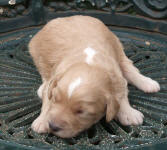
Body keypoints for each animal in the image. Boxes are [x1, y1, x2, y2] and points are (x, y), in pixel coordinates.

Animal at [29, 15, 160, 138]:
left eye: (81, 112)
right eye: (55, 99)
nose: (52, 126)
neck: (89, 62)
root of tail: (69, 17)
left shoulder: (117, 77)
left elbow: (121, 94)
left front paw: (128, 113)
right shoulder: (56, 74)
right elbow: (47, 97)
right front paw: (41, 121)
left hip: (117, 47)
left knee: (129, 68)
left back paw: (148, 83)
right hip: (38, 55)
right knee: (44, 75)